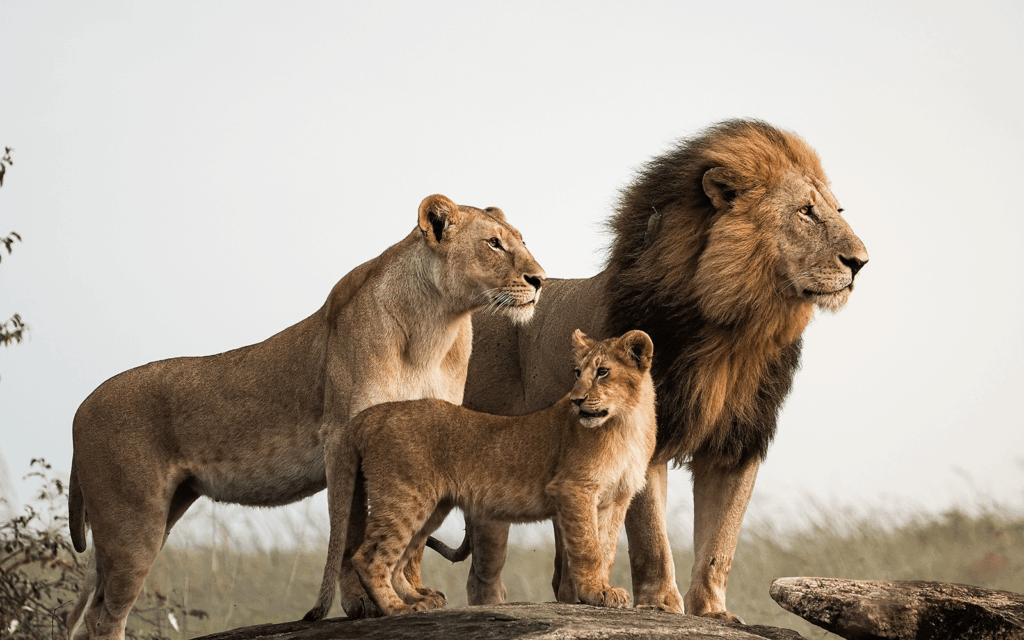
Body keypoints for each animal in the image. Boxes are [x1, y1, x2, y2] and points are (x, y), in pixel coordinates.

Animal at [65, 194, 546, 639]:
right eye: (494, 244)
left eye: (521, 240)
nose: (539, 279)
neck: (436, 326)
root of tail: (79, 409)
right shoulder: (343, 437)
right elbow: (350, 527)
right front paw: (362, 604)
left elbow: (412, 538)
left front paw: (412, 594)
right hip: (133, 523)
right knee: (103, 618)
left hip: (156, 514)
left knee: (91, 610)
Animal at [304, 329, 657, 617]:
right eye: (577, 372)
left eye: (603, 372)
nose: (576, 400)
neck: (626, 422)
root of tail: (375, 413)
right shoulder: (573, 488)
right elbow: (588, 548)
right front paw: (595, 593)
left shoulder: (616, 498)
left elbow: (606, 548)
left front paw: (605, 591)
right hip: (404, 496)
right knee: (369, 557)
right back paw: (396, 609)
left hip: (430, 506)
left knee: (400, 560)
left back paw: (419, 601)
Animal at [440, 120, 869, 622]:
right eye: (805, 212)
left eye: (837, 210)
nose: (861, 262)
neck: (733, 329)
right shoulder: (645, 439)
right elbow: (652, 539)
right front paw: (662, 604)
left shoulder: (737, 443)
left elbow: (721, 543)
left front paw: (713, 611)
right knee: (484, 575)